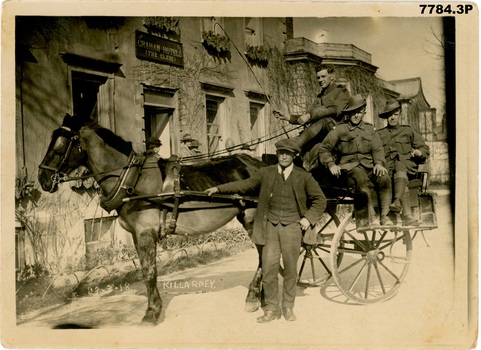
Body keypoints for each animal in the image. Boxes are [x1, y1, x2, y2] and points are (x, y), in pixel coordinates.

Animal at [37, 113, 266, 324]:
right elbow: (145, 271)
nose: (42, 178)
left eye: (60, 146)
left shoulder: (146, 233)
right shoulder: (137, 235)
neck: (132, 180)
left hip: (253, 220)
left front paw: (151, 313)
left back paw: (253, 297)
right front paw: (154, 308)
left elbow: (149, 272)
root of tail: (258, 165)